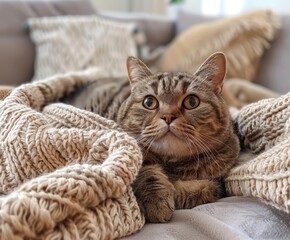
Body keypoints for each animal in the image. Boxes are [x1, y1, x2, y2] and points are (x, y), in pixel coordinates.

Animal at [66, 52, 240, 223]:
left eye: (192, 101)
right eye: (149, 102)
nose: (168, 116)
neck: (172, 166)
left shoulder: (218, 181)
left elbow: (205, 189)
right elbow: (146, 172)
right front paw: (158, 201)